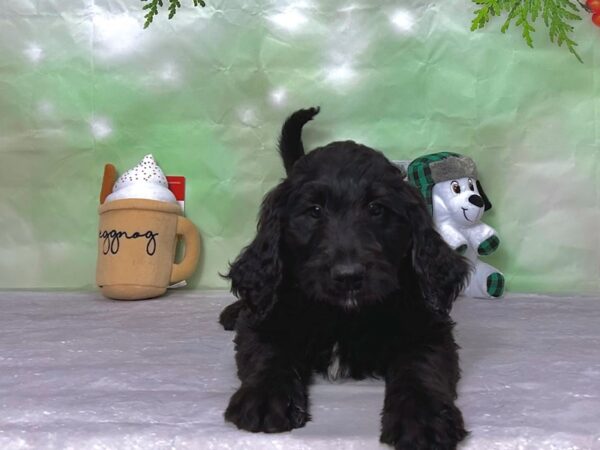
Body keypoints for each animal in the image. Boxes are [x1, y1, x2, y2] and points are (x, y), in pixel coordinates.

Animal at [219, 107, 468, 448]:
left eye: (377, 208)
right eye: (314, 210)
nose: (348, 277)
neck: (343, 316)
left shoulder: (428, 326)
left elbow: (420, 365)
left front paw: (423, 418)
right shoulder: (267, 320)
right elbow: (267, 352)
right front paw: (264, 398)